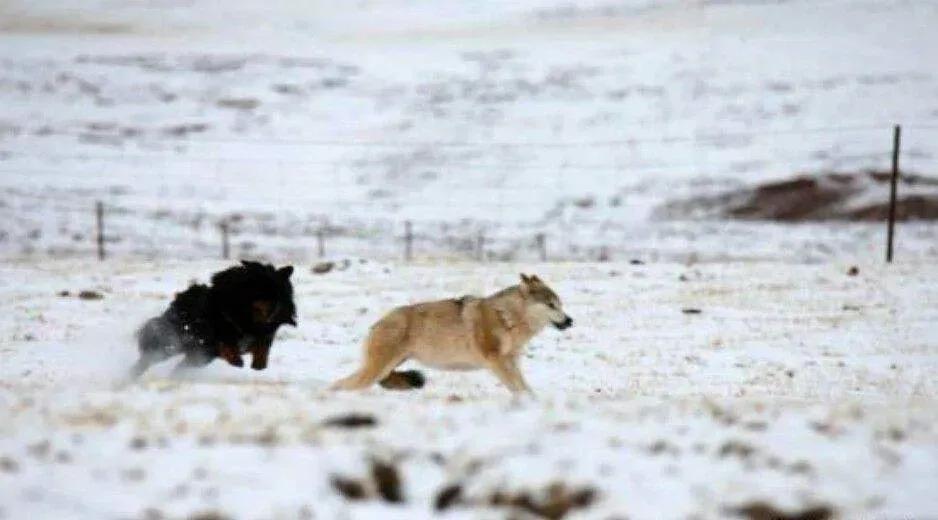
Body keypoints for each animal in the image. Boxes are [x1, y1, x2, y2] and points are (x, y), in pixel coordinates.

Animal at [131, 260, 296, 378]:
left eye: (281, 294)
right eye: (263, 292)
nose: (276, 310)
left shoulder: (263, 335)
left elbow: (262, 348)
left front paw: (258, 364)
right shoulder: (213, 337)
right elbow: (226, 344)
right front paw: (237, 360)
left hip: (198, 357)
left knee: (179, 367)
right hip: (172, 344)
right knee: (147, 359)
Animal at [330, 274, 572, 392]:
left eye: (560, 304)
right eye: (551, 305)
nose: (570, 321)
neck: (508, 317)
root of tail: (376, 324)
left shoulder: (511, 362)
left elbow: (524, 388)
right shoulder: (496, 362)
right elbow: (518, 389)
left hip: (384, 370)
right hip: (378, 370)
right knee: (344, 384)